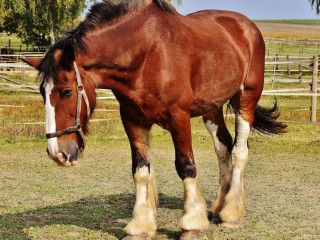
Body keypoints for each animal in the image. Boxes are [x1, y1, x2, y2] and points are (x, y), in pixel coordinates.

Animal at [23, 0, 286, 239]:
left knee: (239, 151)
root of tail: (247, 26)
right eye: (42, 92)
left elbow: (186, 166)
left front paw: (192, 225)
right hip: (211, 108)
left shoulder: (179, 118)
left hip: (246, 99)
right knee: (223, 148)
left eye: (66, 91)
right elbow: (140, 170)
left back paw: (231, 213)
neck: (146, 55)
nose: (57, 153)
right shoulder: (133, 120)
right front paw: (140, 226)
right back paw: (217, 208)